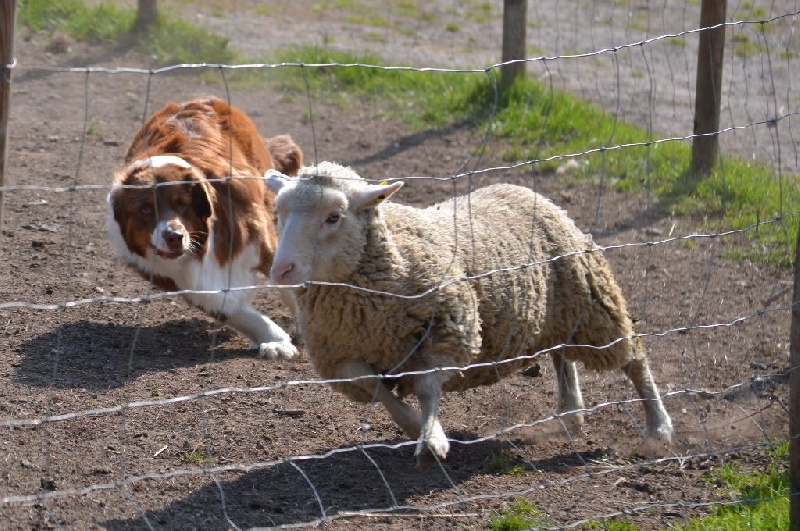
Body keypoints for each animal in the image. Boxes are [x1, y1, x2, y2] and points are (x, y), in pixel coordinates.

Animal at [108, 96, 302, 358]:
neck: (205, 243)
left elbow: (289, 285)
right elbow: (237, 313)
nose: (173, 236)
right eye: (145, 210)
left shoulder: (262, 241)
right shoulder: (182, 281)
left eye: (182, 204)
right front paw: (276, 340)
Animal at [266, 163, 672, 470]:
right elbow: (376, 387)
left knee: (634, 357)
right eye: (277, 214)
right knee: (561, 355)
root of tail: (524, 190)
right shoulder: (340, 356)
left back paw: (658, 427)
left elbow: (426, 387)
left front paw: (432, 440)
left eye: (333, 217)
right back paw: (570, 413)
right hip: (561, 309)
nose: (281, 271)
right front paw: (413, 426)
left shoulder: (450, 330)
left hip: (592, 301)